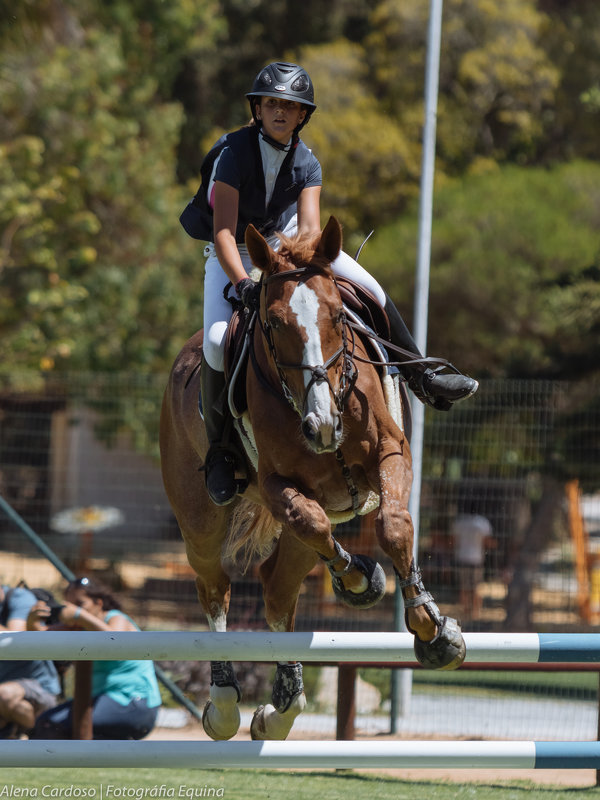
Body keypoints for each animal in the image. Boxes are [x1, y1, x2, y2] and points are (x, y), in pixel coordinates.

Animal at [159, 216, 464, 740]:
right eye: (274, 324)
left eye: (340, 316)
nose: (322, 426)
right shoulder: (279, 486)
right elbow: (316, 524)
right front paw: (359, 579)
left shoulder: (392, 453)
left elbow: (392, 526)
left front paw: (432, 629)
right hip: (200, 520)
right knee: (215, 586)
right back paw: (224, 703)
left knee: (278, 590)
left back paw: (281, 707)